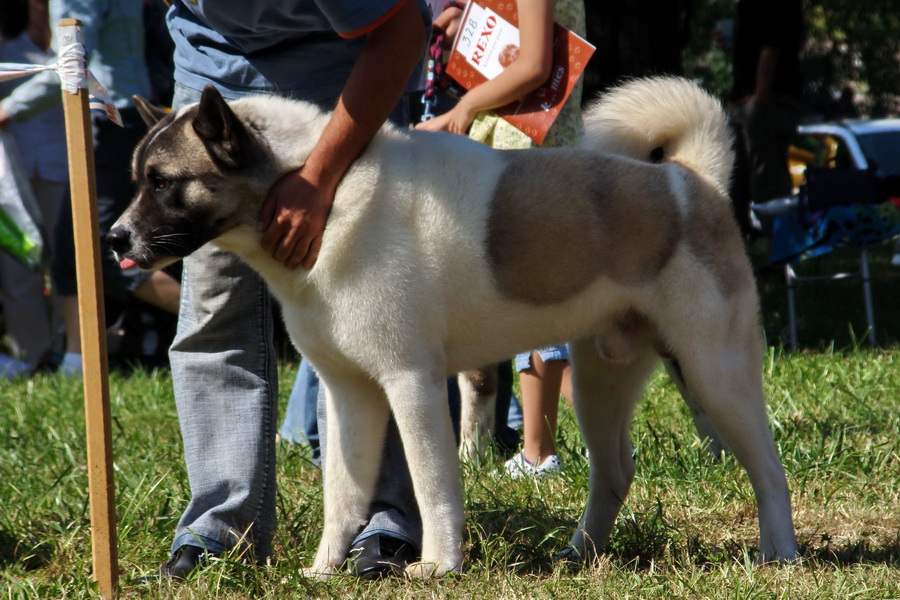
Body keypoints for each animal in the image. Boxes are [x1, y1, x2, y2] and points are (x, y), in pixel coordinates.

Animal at [109, 77, 800, 580]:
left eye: (164, 183)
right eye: (138, 180)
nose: (114, 239)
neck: (323, 196)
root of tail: (691, 181)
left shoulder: (410, 384)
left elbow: (431, 481)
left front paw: (439, 566)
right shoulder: (349, 396)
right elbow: (343, 492)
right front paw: (324, 571)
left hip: (715, 372)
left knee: (768, 467)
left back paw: (780, 554)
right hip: (603, 381)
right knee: (614, 472)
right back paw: (579, 555)